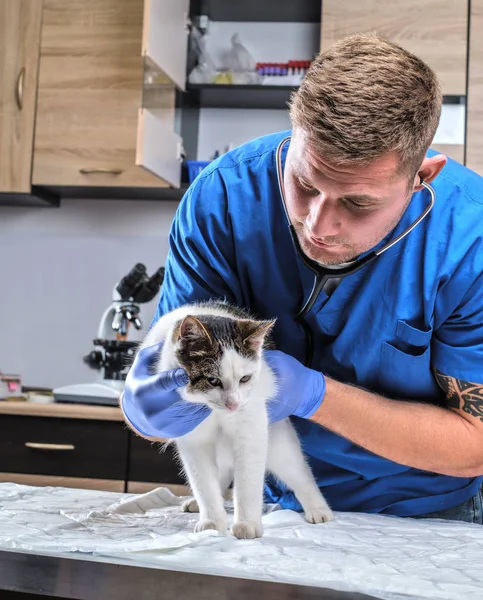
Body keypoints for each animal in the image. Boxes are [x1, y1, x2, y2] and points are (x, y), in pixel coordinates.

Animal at [142, 300, 334, 540]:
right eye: (213, 380)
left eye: (245, 378)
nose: (233, 404)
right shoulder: (193, 439)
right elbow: (203, 481)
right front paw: (212, 521)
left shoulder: (251, 427)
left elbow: (248, 480)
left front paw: (247, 523)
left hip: (279, 442)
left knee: (300, 473)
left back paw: (319, 509)